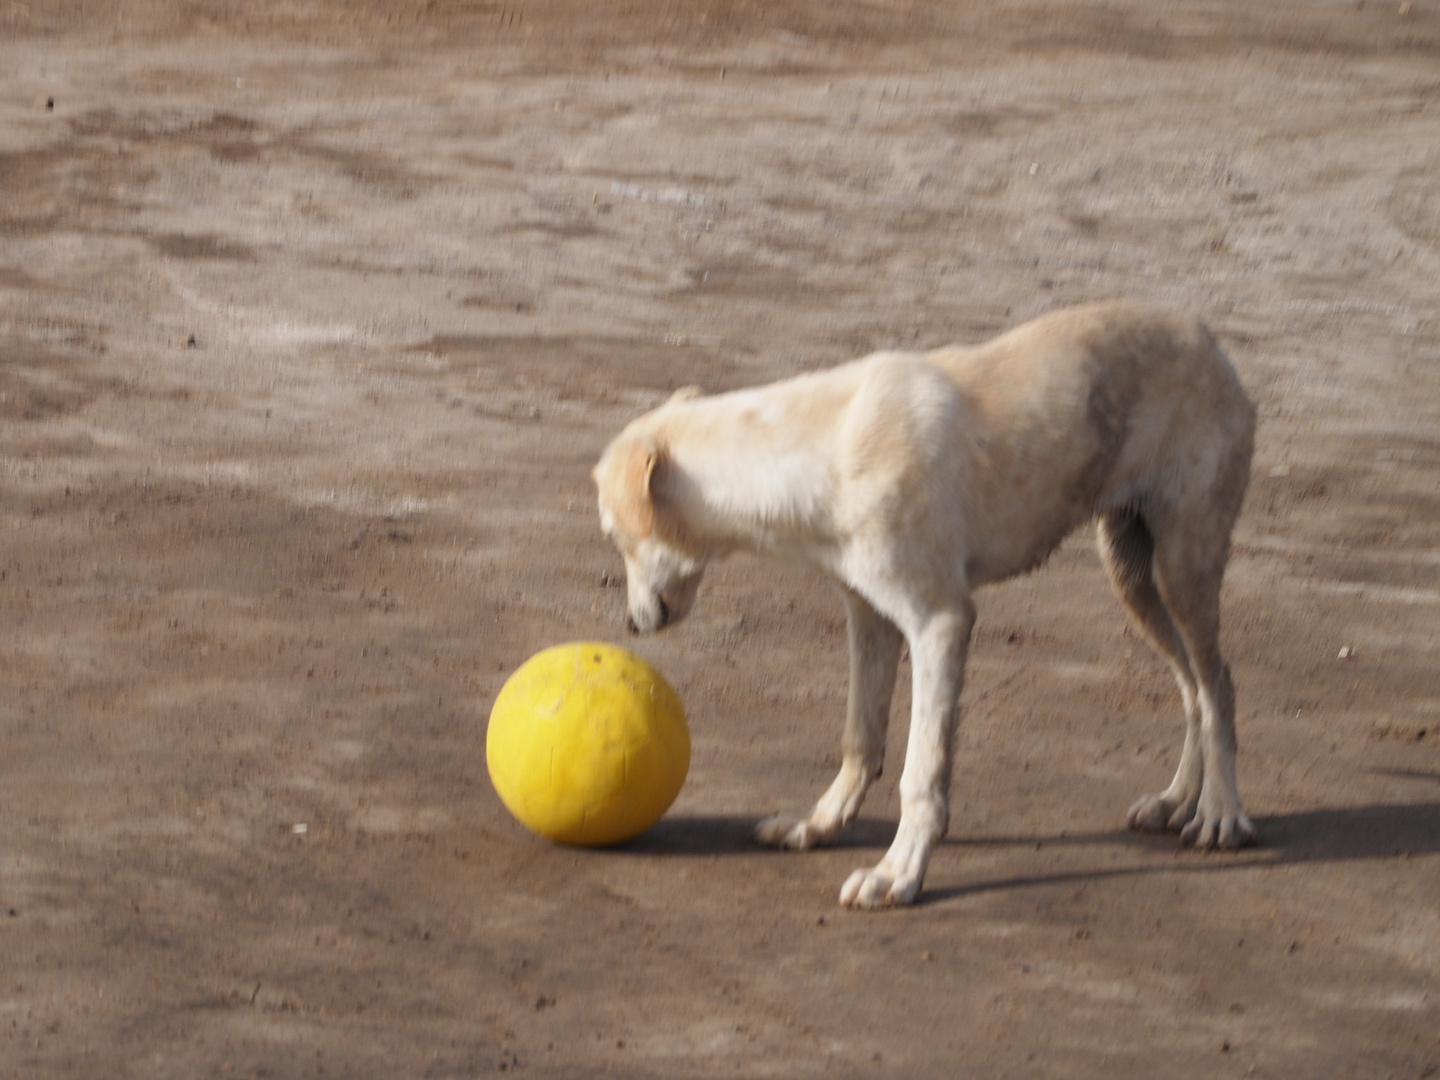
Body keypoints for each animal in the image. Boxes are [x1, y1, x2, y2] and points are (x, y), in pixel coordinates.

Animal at [590, 305, 1255, 915]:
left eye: (614, 535)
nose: (632, 625)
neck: (821, 448)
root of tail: (1207, 338)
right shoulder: (870, 616)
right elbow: (860, 737)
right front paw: (820, 825)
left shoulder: (940, 624)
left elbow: (921, 774)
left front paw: (897, 874)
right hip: (1132, 573)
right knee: (1192, 689)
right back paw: (1176, 801)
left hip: (1182, 569)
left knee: (1218, 684)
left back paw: (1221, 813)